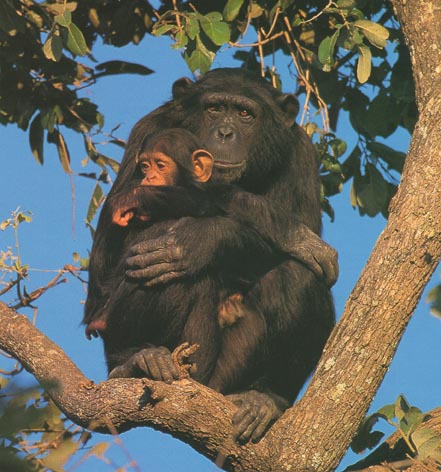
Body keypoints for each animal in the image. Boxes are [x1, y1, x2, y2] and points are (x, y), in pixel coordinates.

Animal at [84, 68, 336, 444]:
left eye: (245, 114)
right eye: (214, 109)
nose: (225, 133)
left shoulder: (302, 155)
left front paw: (196, 240)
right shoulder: (146, 132)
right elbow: (106, 265)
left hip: (226, 379)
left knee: (300, 276)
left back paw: (266, 399)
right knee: (163, 277)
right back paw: (137, 360)